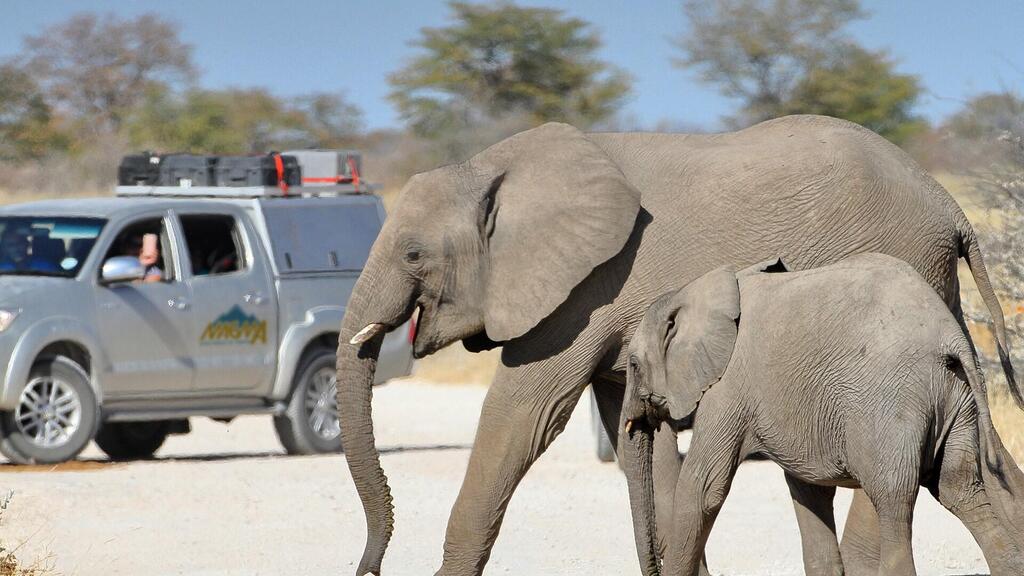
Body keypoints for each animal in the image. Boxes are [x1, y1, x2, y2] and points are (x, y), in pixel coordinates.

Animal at [614, 253, 1024, 573]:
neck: (697, 290)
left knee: (894, 502)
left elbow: (702, 489)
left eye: (633, 365)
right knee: (961, 491)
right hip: (956, 397)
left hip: (891, 403)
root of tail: (950, 336)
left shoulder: (728, 388)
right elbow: (807, 492)